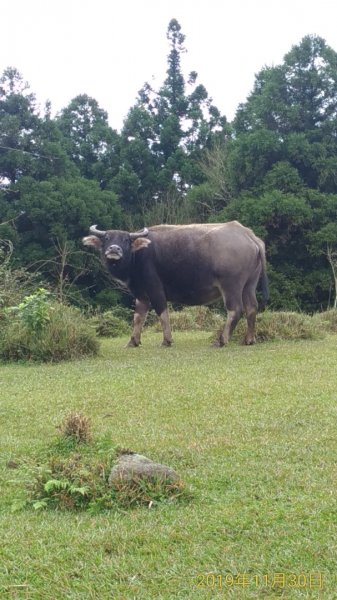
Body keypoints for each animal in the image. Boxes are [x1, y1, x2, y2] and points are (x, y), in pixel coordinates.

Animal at [83, 221, 268, 346]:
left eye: (126, 240)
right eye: (107, 238)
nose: (114, 249)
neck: (138, 255)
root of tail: (247, 234)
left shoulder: (155, 289)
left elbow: (162, 312)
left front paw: (167, 340)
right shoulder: (141, 294)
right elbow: (138, 317)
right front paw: (133, 341)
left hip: (231, 286)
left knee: (235, 309)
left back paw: (222, 340)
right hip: (249, 285)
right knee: (252, 307)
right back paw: (249, 339)